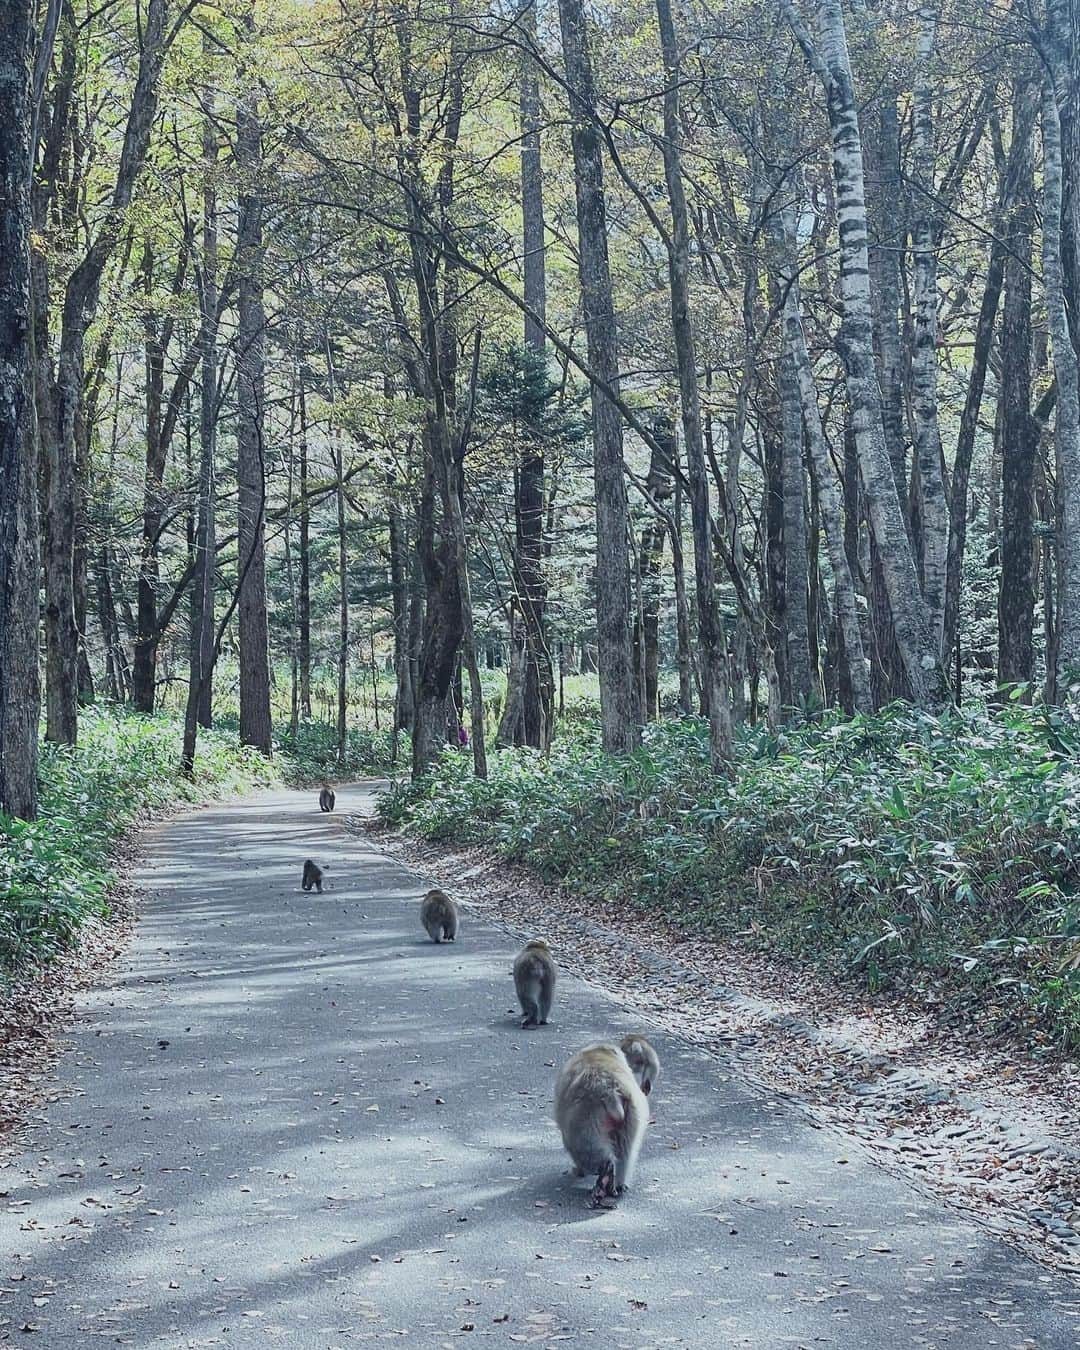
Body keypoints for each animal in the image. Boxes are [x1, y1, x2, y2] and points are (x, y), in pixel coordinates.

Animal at [556, 1036, 658, 1209]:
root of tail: (611, 1091)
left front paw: (579, 1170)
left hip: (586, 1116)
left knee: (586, 1147)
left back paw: (603, 1173)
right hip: (632, 1111)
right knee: (626, 1150)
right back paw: (618, 1183)